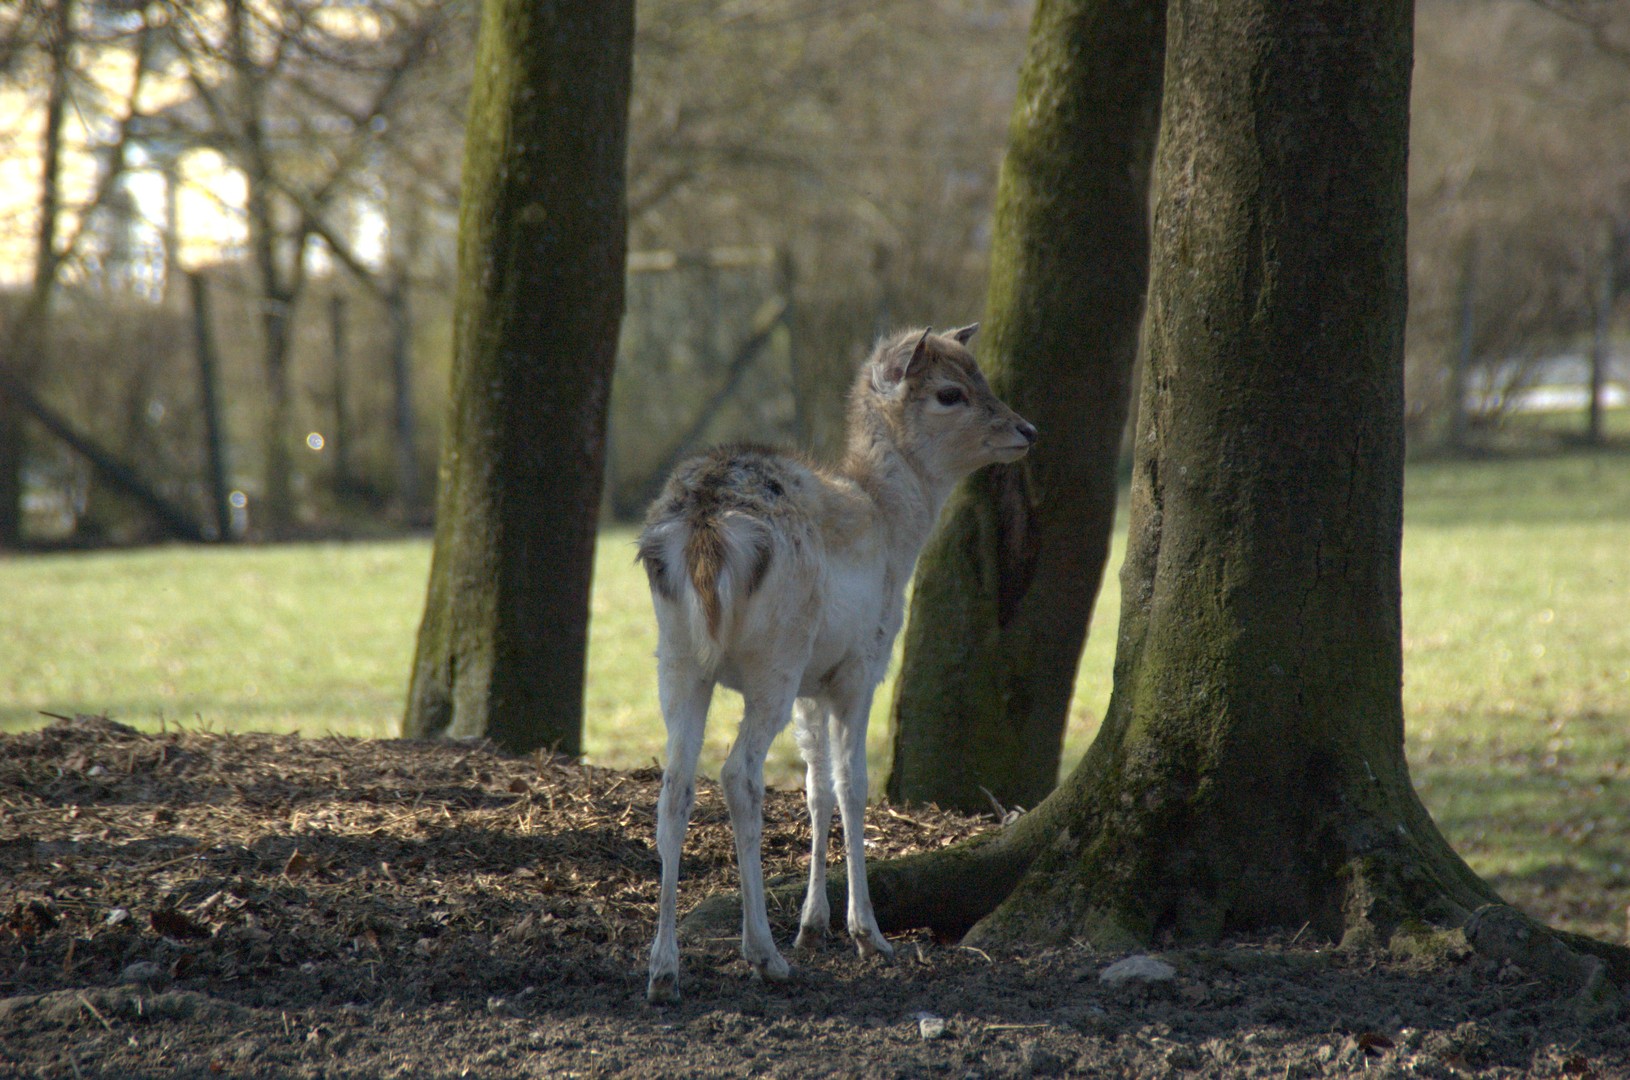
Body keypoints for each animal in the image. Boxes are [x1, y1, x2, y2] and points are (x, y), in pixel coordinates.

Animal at [632, 322, 1030, 1003]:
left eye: (979, 376)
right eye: (951, 393)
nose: (1026, 430)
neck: (895, 533)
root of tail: (705, 528)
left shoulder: (811, 687)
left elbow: (816, 788)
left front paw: (814, 925)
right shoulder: (860, 664)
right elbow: (853, 786)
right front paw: (868, 934)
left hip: (679, 660)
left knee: (675, 785)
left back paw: (664, 970)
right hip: (775, 655)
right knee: (738, 774)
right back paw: (763, 955)